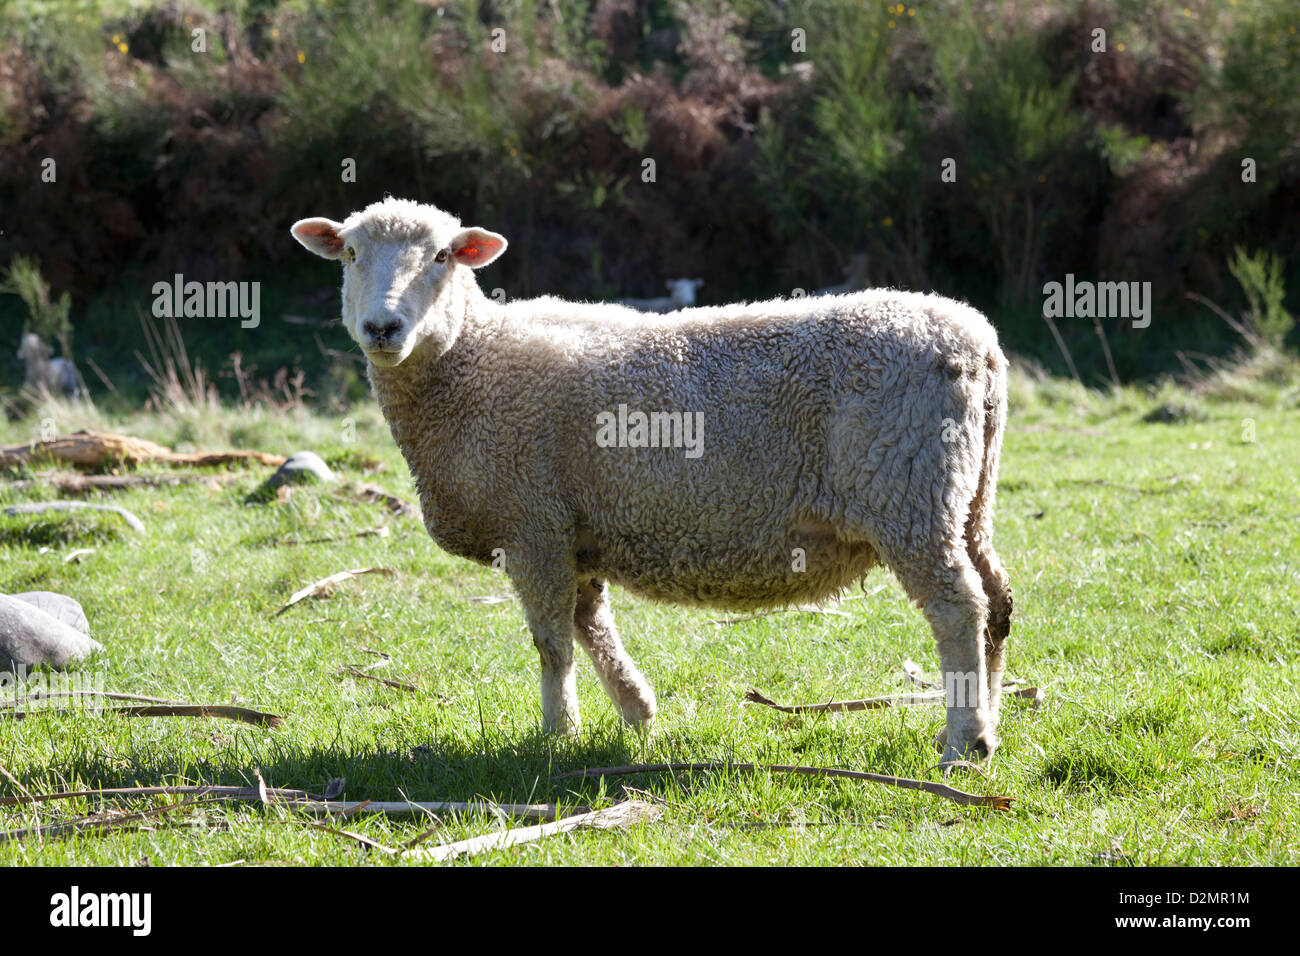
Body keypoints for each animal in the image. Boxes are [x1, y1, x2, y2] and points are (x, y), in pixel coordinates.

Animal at [295, 200, 1013, 764]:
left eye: (443, 255)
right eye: (350, 252)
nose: (382, 327)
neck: (472, 364)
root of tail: (976, 341)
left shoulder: (533, 524)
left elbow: (552, 643)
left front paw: (556, 734)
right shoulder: (574, 530)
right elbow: (591, 624)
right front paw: (637, 711)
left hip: (908, 493)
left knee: (958, 606)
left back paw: (963, 740)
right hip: (967, 498)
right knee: (996, 602)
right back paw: (990, 718)